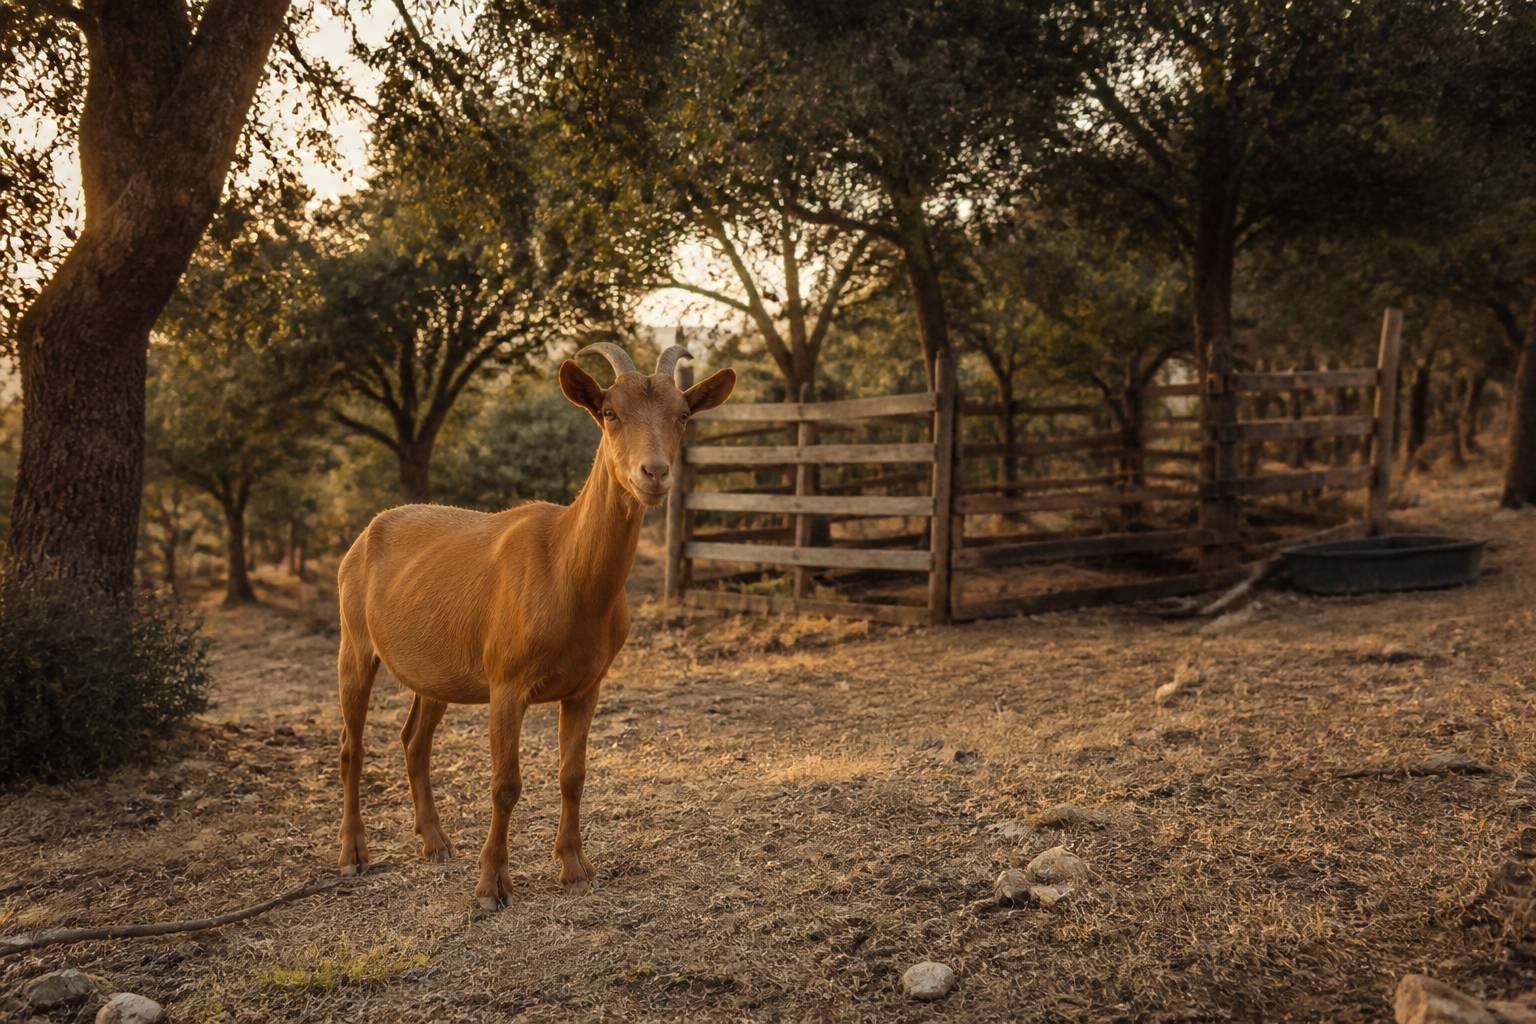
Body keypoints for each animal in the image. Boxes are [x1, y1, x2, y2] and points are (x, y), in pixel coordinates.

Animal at [334, 343, 735, 908]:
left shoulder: (587, 685)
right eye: (609, 412)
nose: (653, 474)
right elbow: (505, 783)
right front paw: (491, 885)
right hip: (354, 640)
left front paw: (575, 867)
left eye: (682, 415)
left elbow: (573, 775)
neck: (566, 567)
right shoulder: (506, 683)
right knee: (352, 745)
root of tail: (366, 532)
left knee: (415, 740)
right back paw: (353, 854)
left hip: (435, 669)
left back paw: (436, 842)